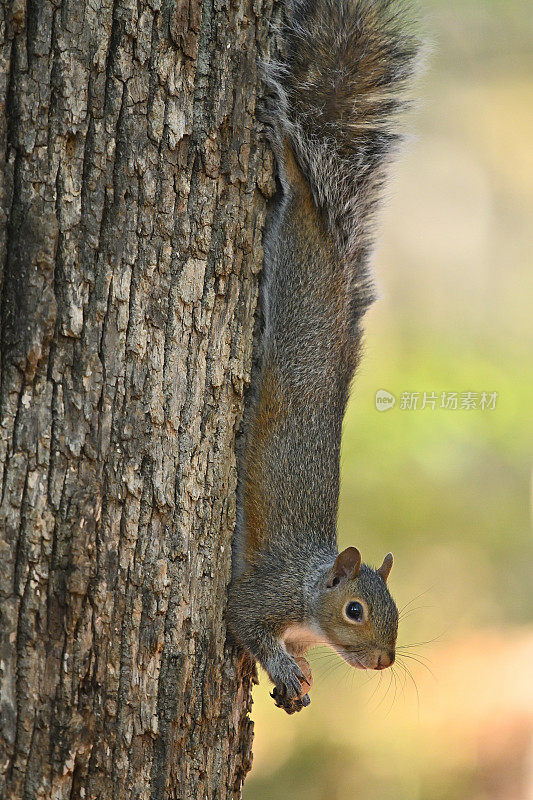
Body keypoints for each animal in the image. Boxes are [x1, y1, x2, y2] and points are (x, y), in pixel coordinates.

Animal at [224, 0, 420, 712]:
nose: (385, 661)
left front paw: (301, 673)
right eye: (356, 611)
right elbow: (242, 620)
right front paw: (283, 668)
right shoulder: (263, 593)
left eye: (397, 612)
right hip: (291, 247)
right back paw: (282, 144)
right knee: (295, 179)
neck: (311, 596)